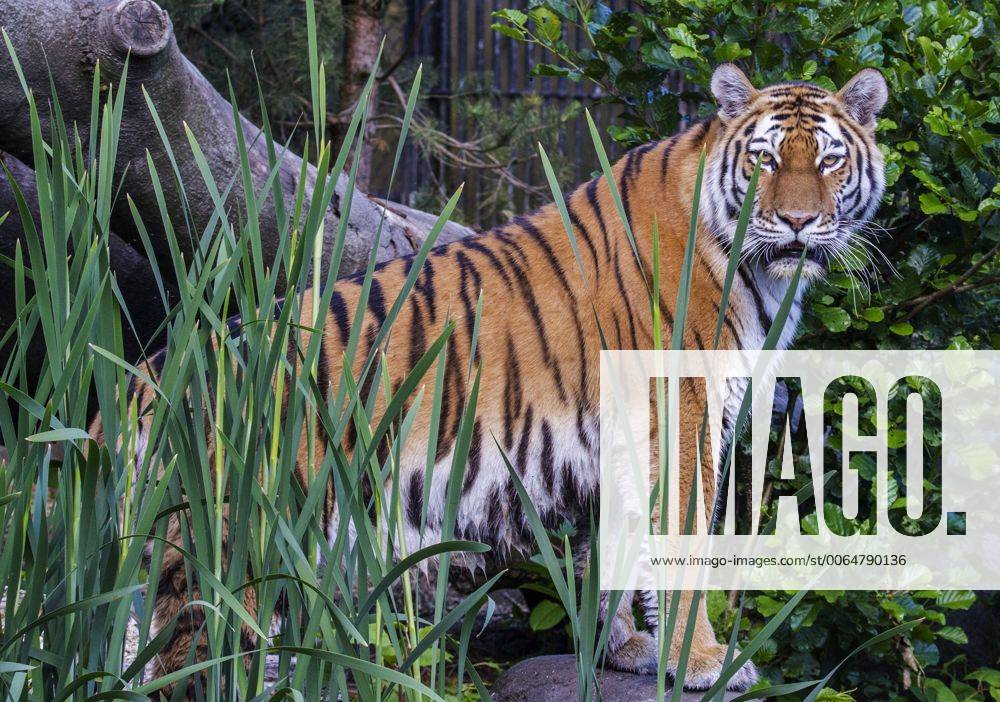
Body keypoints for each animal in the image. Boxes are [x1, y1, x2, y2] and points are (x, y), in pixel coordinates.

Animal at [91, 63, 888, 694]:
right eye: (763, 161)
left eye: (828, 162)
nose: (796, 222)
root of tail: (136, 383)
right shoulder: (682, 418)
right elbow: (682, 544)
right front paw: (701, 661)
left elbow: (614, 548)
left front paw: (626, 650)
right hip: (227, 542)